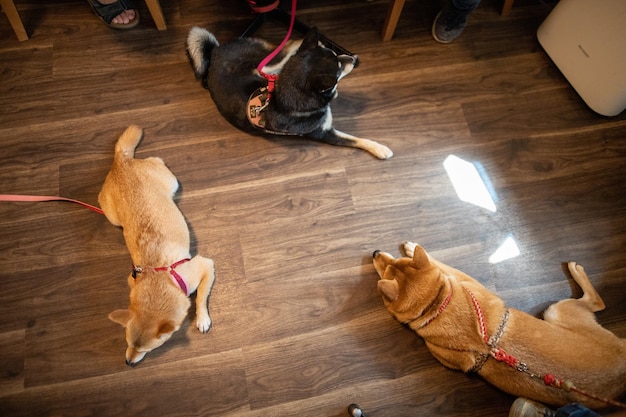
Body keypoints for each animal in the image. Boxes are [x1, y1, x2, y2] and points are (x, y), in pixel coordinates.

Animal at [184, 26, 390, 159]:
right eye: (338, 69)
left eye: (335, 55)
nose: (353, 59)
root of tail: (215, 52)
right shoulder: (324, 133)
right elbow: (356, 139)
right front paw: (381, 149)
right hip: (264, 64)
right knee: (284, 48)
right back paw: (301, 39)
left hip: (266, 68)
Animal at [370, 242, 624, 408]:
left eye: (391, 265)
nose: (374, 252)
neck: (437, 302)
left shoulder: (462, 281)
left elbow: (441, 264)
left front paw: (413, 247)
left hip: (556, 310)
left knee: (597, 302)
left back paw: (576, 270)